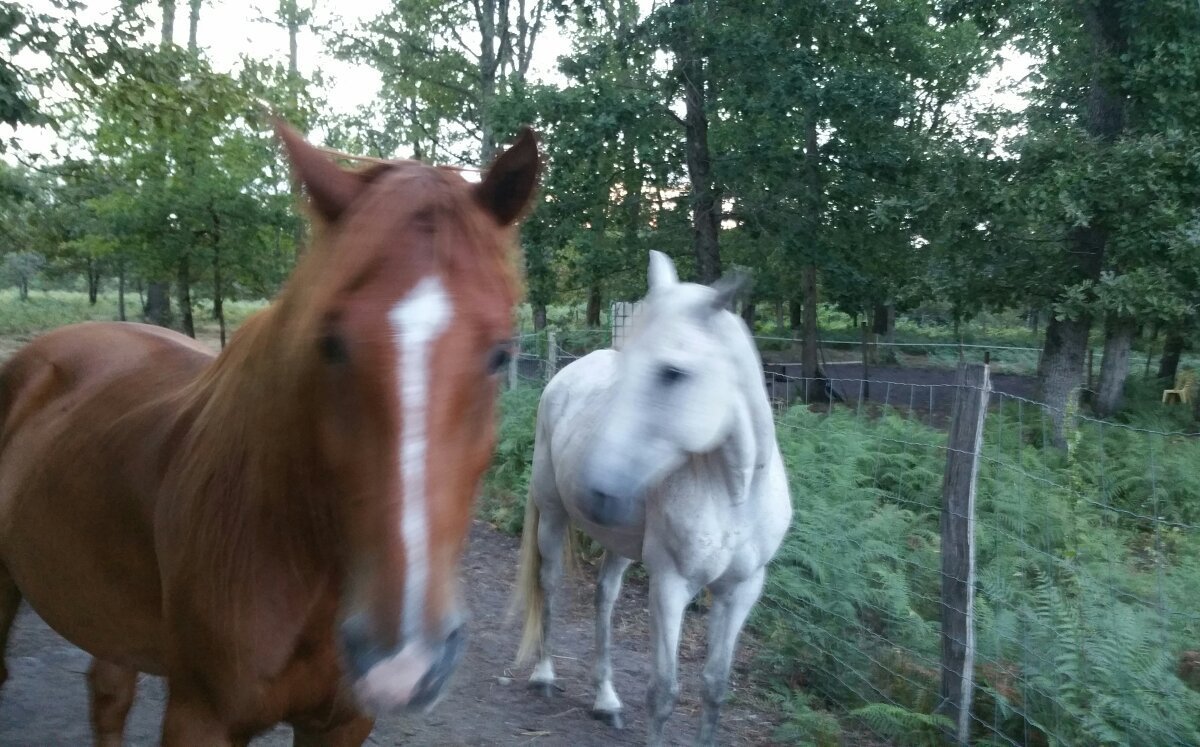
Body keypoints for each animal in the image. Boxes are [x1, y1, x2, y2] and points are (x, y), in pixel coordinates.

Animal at [0, 121, 540, 744]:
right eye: (329, 344)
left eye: (501, 355)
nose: (403, 660)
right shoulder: (199, 717)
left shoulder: (342, 723)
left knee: (109, 694)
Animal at [511, 253, 792, 747]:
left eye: (672, 372)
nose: (598, 491)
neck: (734, 494)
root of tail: (564, 375)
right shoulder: (670, 586)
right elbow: (663, 691)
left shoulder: (741, 590)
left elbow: (715, 687)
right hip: (552, 516)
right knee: (551, 585)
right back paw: (544, 675)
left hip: (621, 546)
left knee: (605, 597)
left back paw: (606, 699)